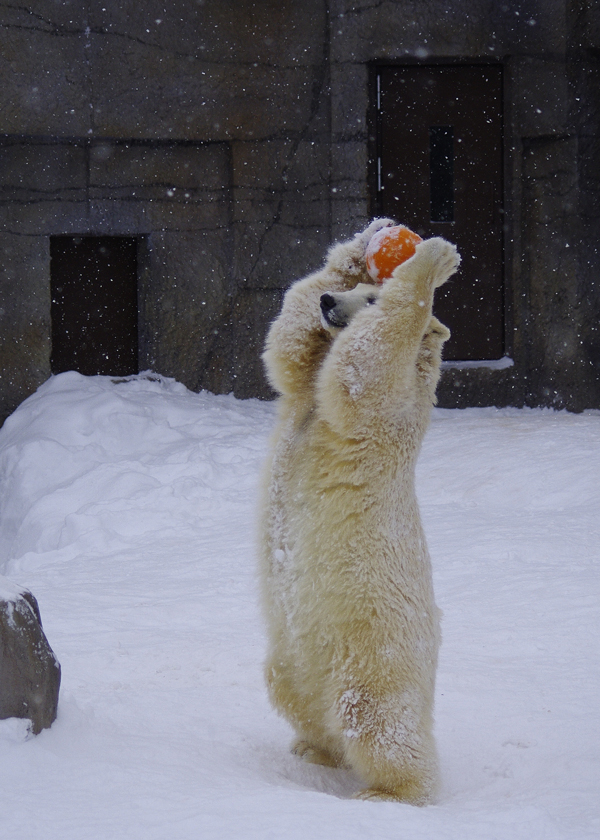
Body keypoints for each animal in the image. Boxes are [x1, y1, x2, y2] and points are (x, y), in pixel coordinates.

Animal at [258, 220, 460, 804]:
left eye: (371, 299)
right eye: (355, 291)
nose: (332, 303)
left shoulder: (388, 413)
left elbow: (367, 368)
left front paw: (434, 260)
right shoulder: (305, 387)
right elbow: (289, 346)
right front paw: (367, 240)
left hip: (377, 650)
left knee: (377, 721)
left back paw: (388, 792)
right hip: (293, 659)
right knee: (295, 695)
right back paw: (313, 750)